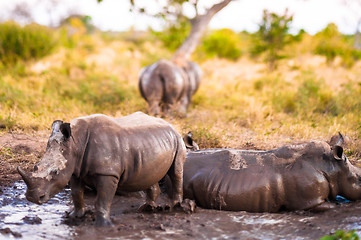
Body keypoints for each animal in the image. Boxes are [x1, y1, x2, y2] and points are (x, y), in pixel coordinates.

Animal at [17, 111, 187, 226]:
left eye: (55, 172)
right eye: (36, 166)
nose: (32, 197)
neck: (75, 142)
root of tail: (171, 125)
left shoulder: (107, 173)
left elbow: (102, 199)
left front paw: (103, 225)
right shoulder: (75, 170)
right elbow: (76, 194)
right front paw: (75, 216)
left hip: (178, 140)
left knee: (176, 172)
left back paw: (174, 206)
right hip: (151, 143)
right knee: (150, 173)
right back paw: (146, 208)